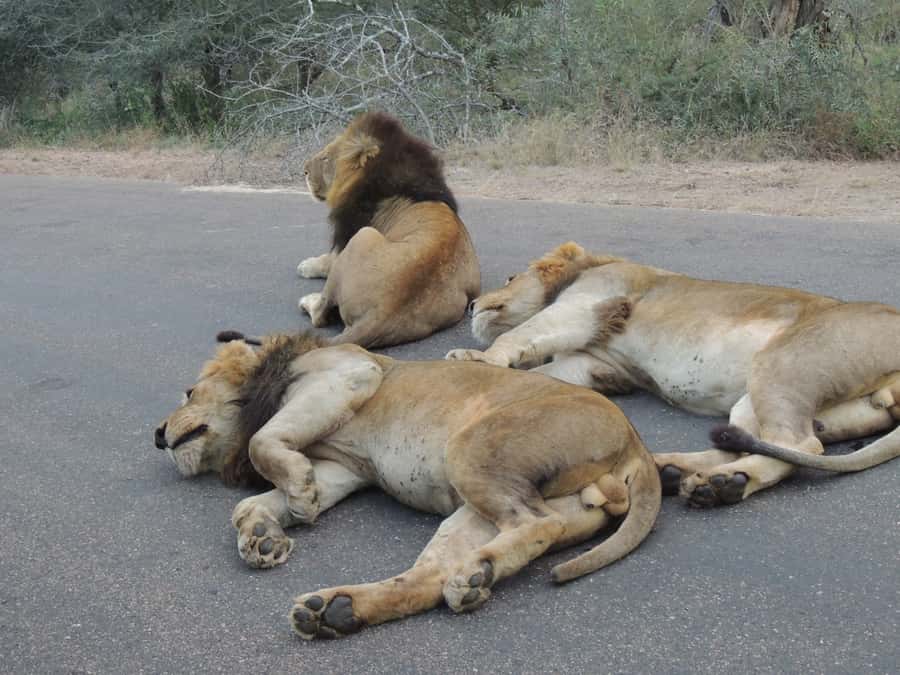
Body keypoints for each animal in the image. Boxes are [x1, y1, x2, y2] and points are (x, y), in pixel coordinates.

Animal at [153, 330, 661, 639]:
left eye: (189, 393)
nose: (157, 435)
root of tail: (636, 442)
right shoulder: (342, 468)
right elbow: (249, 504)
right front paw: (264, 537)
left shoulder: (346, 377)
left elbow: (262, 443)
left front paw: (295, 495)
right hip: (476, 505)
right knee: (426, 580)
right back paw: (337, 611)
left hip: (471, 449)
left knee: (540, 523)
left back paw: (473, 573)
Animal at [295, 112, 480, 348]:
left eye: (326, 158)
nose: (304, 170)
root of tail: (380, 313)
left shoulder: (348, 235)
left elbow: (327, 259)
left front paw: (306, 265)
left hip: (364, 235)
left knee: (320, 315)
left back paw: (307, 301)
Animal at [446, 242, 900, 507]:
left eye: (509, 277)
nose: (472, 305)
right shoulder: (597, 363)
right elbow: (549, 368)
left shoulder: (586, 304)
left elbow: (521, 333)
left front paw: (474, 358)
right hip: (772, 398)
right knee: (752, 441)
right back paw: (679, 473)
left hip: (783, 365)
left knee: (802, 445)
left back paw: (721, 484)